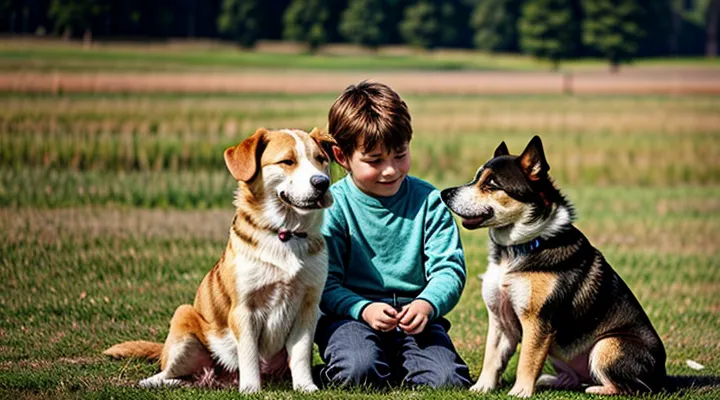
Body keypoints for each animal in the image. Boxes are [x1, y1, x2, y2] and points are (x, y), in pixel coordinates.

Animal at [106, 128, 334, 394]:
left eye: (321, 159)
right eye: (287, 161)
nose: (322, 182)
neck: (285, 234)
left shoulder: (308, 306)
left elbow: (300, 353)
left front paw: (305, 386)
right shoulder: (244, 309)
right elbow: (249, 354)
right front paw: (251, 389)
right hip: (184, 322)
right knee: (171, 372)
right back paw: (149, 382)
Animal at [442, 136, 668, 396]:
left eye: (491, 184)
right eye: (476, 177)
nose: (444, 193)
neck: (519, 248)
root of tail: (662, 377)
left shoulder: (538, 321)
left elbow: (527, 360)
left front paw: (519, 392)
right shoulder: (500, 320)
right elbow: (492, 358)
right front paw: (481, 388)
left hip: (608, 344)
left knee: (634, 387)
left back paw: (595, 388)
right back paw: (551, 381)